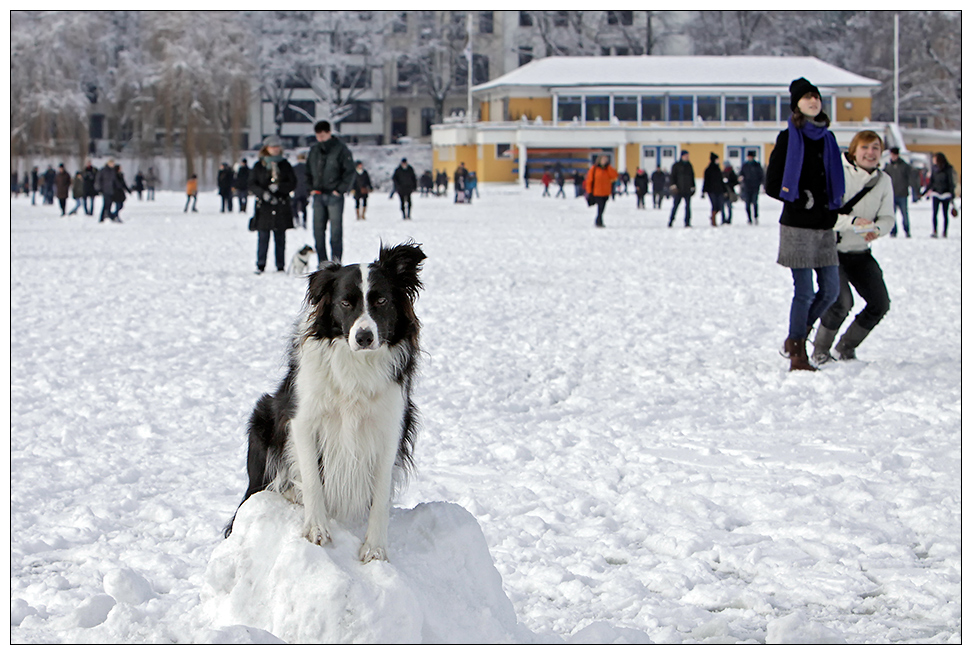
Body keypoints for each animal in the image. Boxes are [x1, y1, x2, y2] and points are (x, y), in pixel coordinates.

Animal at [228, 242, 430, 564]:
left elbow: (380, 493)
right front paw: (316, 529)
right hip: (262, 417)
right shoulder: (303, 420)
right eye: (345, 303)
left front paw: (375, 547)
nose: (363, 337)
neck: (357, 365)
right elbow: (312, 478)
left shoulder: (390, 427)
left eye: (382, 300)